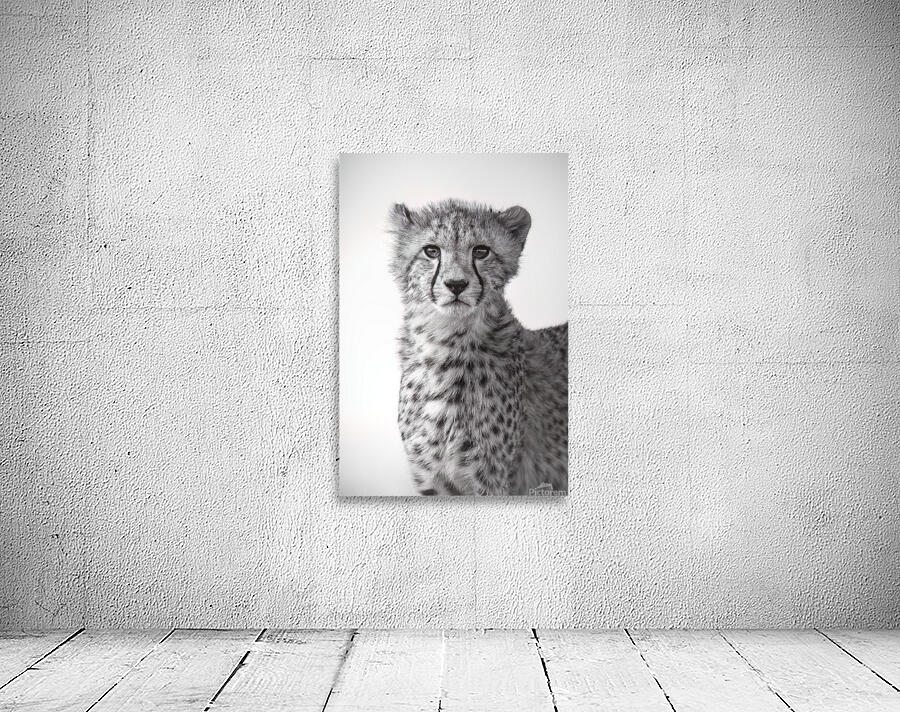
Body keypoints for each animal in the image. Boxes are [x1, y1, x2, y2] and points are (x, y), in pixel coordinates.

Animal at [388, 199, 568, 496]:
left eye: (481, 251)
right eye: (431, 251)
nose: (456, 284)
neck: (446, 345)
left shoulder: (491, 480)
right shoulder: (432, 478)